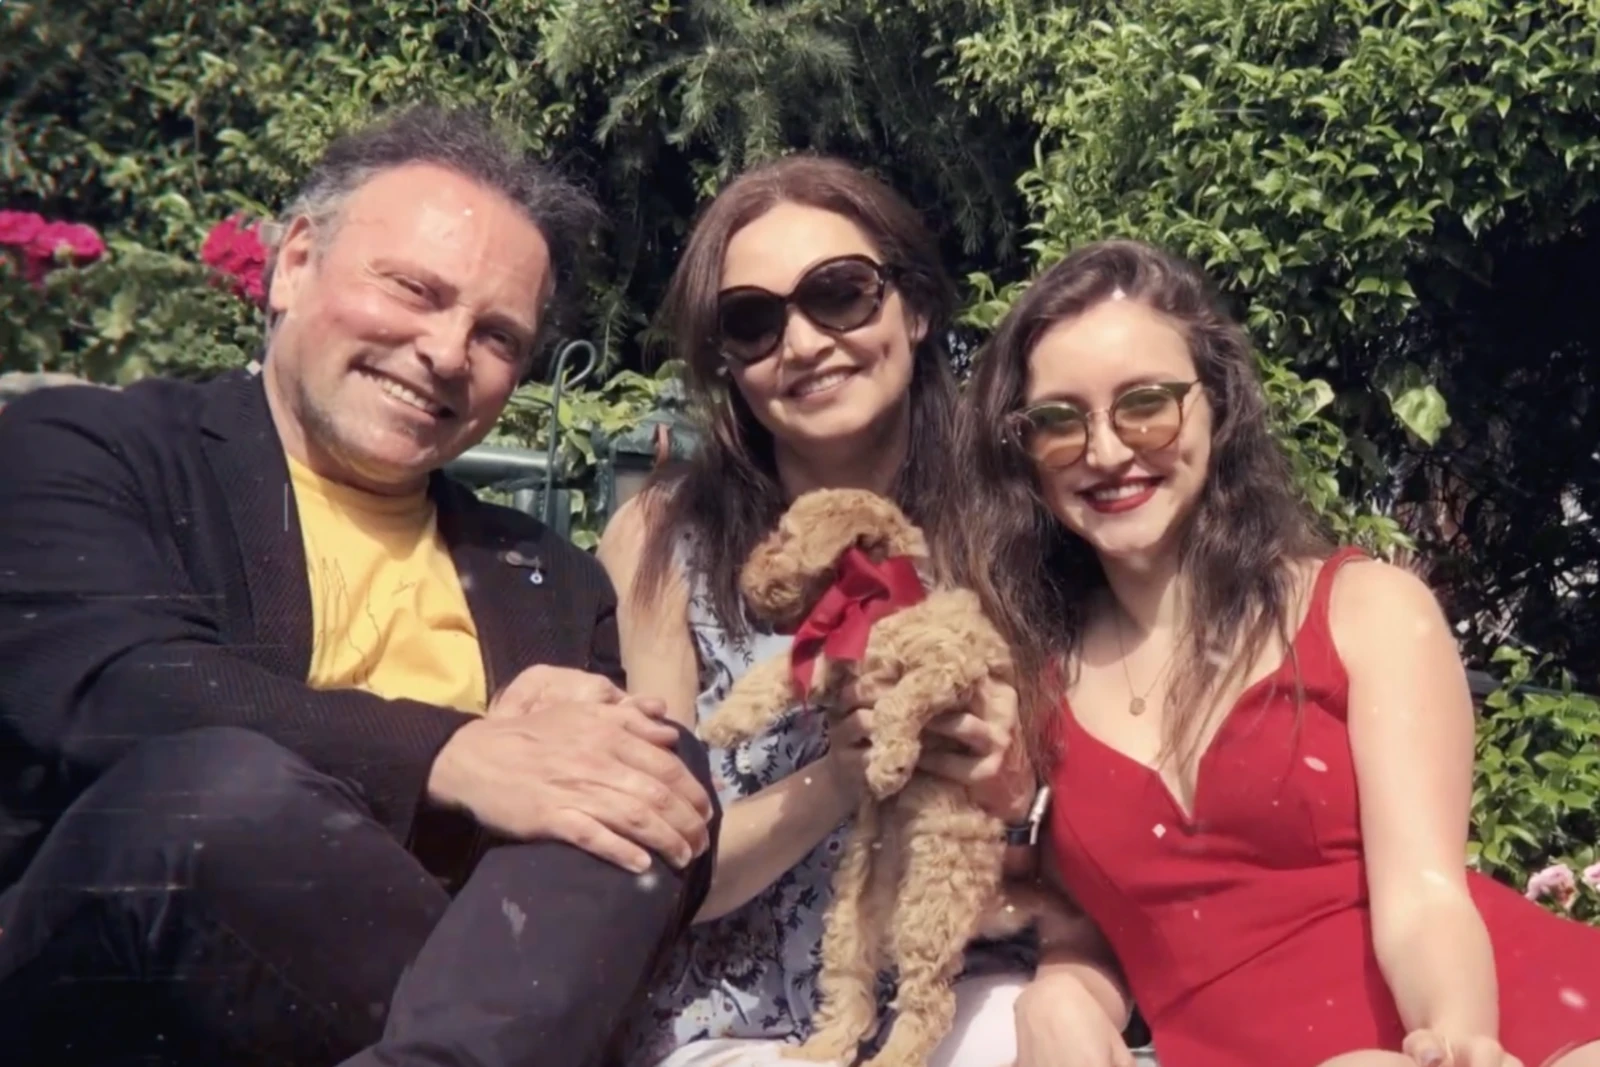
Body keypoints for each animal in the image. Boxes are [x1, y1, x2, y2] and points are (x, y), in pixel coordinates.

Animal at [700, 489, 1024, 1067]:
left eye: (783, 537)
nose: (744, 575)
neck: (874, 599)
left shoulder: (950, 664)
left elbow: (901, 698)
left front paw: (889, 761)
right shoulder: (832, 662)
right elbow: (776, 673)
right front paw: (724, 721)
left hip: (933, 899)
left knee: (928, 1005)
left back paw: (890, 1056)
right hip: (849, 919)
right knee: (851, 994)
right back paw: (814, 1051)